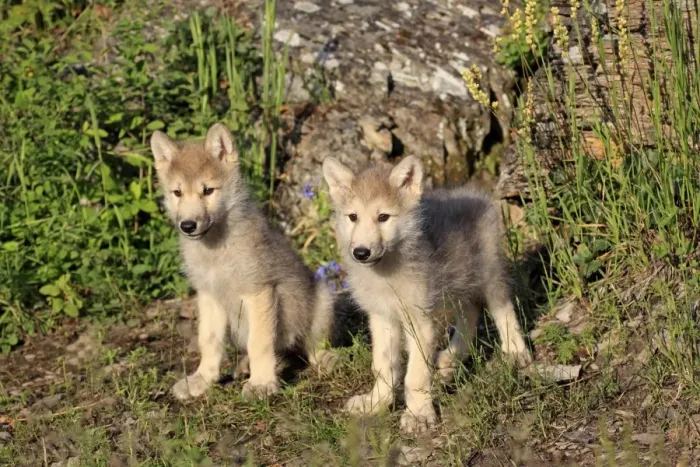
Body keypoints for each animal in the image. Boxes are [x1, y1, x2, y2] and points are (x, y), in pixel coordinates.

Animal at [150, 123, 335, 401]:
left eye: (208, 191)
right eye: (177, 193)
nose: (188, 226)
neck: (216, 250)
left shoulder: (257, 292)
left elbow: (259, 343)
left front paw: (261, 384)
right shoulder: (209, 296)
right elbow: (209, 342)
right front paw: (202, 380)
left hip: (322, 299)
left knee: (309, 346)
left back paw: (323, 358)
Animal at [322, 155, 532, 433]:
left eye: (383, 217)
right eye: (353, 217)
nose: (361, 252)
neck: (387, 276)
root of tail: (472, 192)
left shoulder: (419, 320)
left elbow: (415, 376)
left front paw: (418, 414)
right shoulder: (382, 317)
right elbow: (383, 367)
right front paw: (376, 403)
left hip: (489, 276)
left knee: (503, 310)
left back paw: (517, 353)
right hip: (457, 284)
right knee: (471, 314)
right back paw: (452, 357)